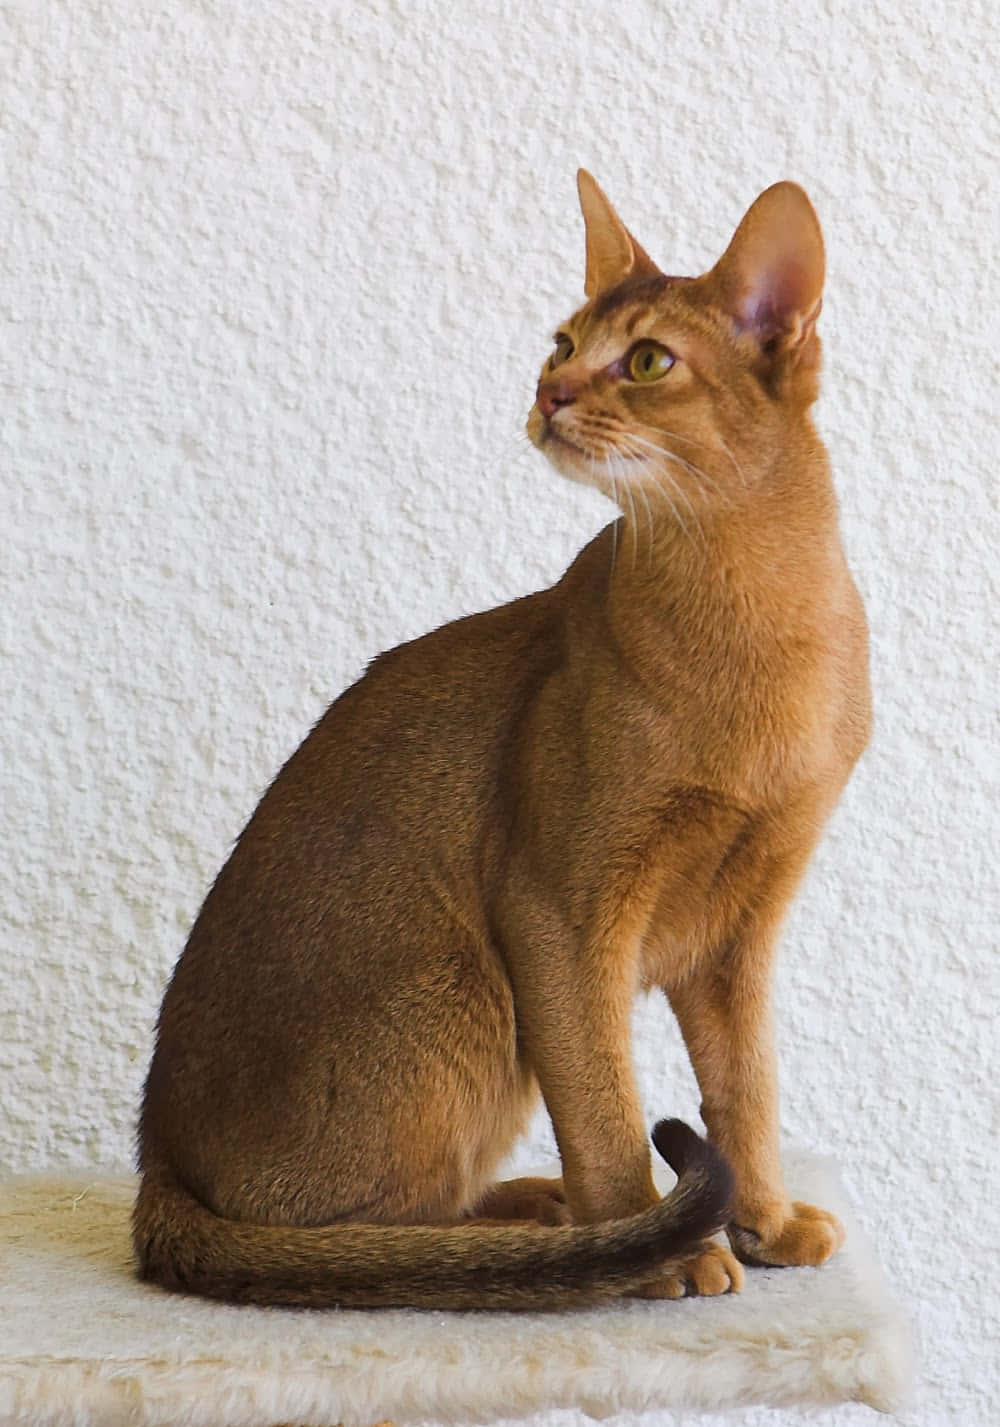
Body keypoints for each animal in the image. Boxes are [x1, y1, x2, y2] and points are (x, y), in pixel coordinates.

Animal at [130, 166, 867, 1307]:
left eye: (647, 360)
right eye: (560, 343)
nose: (549, 395)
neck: (756, 625)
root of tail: (155, 1163)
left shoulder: (742, 927)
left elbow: (747, 1090)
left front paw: (768, 1220)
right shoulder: (558, 912)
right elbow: (607, 1106)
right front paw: (667, 1245)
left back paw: (544, 1211)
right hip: (464, 988)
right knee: (363, 1239)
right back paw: (560, 1228)